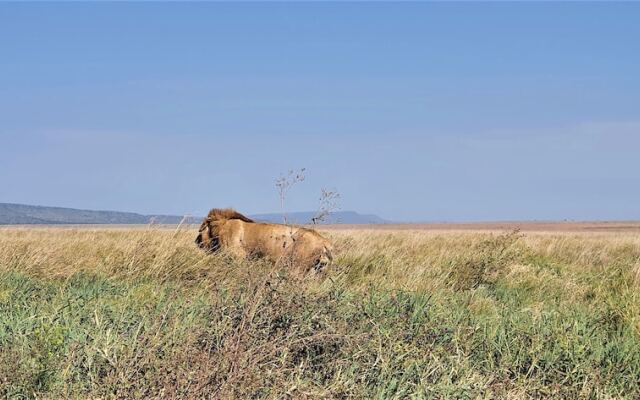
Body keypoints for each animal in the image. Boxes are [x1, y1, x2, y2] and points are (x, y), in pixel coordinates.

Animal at [195, 209, 336, 272]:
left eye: (201, 230)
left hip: (298, 267)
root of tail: (324, 241)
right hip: (317, 269)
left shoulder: (237, 257)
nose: (196, 241)